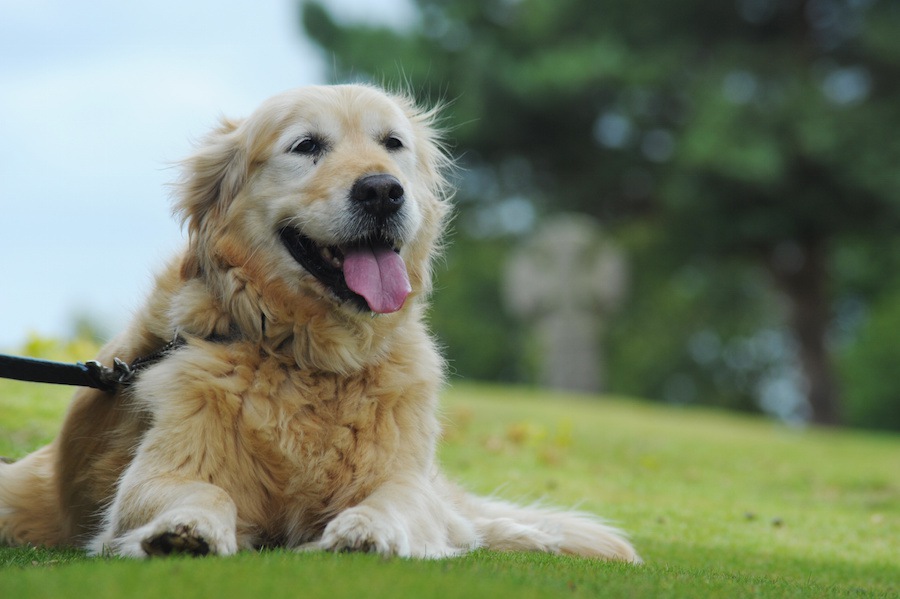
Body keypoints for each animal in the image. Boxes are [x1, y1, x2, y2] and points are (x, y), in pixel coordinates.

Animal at [0, 84, 640, 564]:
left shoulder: (402, 476)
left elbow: (400, 503)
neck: (310, 359)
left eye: (392, 144)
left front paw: (368, 531)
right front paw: (186, 528)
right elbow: (198, 491)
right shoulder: (159, 472)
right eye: (306, 145)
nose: (382, 190)